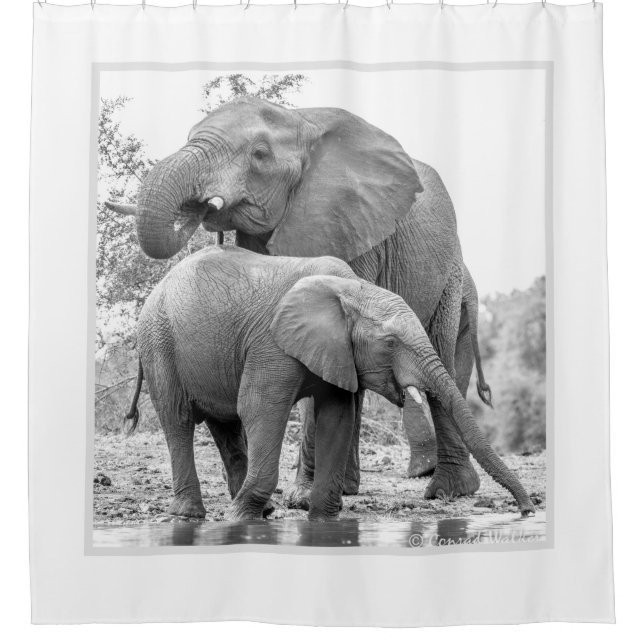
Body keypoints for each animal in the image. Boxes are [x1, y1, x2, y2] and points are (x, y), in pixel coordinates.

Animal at [107, 97, 494, 503]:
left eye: (260, 154)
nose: (201, 207)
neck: (302, 121)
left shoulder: (348, 229)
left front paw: (303, 498)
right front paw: (303, 493)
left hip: (449, 274)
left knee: (442, 356)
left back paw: (448, 490)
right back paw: (354, 487)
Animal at [124, 245, 535, 520]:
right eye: (390, 344)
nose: (528, 509)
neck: (352, 289)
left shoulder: (338, 351)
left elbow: (337, 418)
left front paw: (323, 516)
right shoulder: (270, 343)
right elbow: (261, 409)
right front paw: (241, 517)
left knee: (224, 425)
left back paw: (262, 510)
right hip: (159, 341)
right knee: (178, 420)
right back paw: (192, 515)